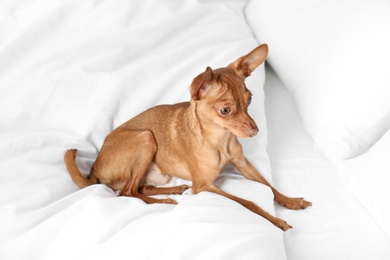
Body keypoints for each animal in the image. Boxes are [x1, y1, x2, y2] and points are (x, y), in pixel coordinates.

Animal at [65, 44, 312, 232]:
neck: (219, 140)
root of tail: (94, 168)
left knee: (140, 188)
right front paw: (276, 220)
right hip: (145, 138)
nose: (255, 131)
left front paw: (291, 201)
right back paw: (163, 201)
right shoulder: (204, 186)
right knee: (127, 192)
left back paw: (171, 191)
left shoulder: (243, 163)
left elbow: (269, 186)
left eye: (249, 100)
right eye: (225, 110)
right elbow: (249, 202)